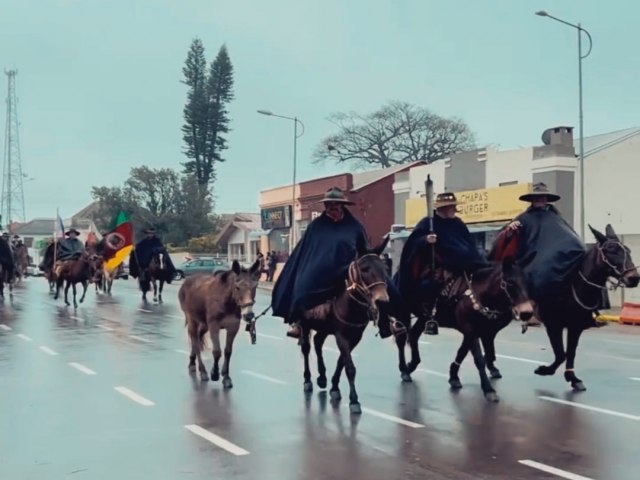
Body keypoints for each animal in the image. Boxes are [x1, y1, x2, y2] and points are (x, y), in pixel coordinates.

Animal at [178, 260, 260, 388]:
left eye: (255, 286)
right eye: (237, 287)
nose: (248, 315)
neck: (227, 302)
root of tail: (187, 281)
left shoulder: (233, 327)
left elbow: (228, 352)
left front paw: (226, 377)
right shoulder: (214, 326)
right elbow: (217, 352)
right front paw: (215, 373)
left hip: (204, 324)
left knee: (197, 338)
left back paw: (192, 362)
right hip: (192, 320)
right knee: (195, 342)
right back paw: (202, 371)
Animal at [296, 240, 390, 416]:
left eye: (385, 269)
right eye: (364, 268)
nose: (382, 300)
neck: (349, 303)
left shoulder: (354, 337)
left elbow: (342, 361)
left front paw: (334, 387)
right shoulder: (341, 336)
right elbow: (350, 367)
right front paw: (354, 401)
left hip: (324, 327)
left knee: (318, 342)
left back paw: (322, 377)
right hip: (305, 324)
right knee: (306, 348)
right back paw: (308, 380)